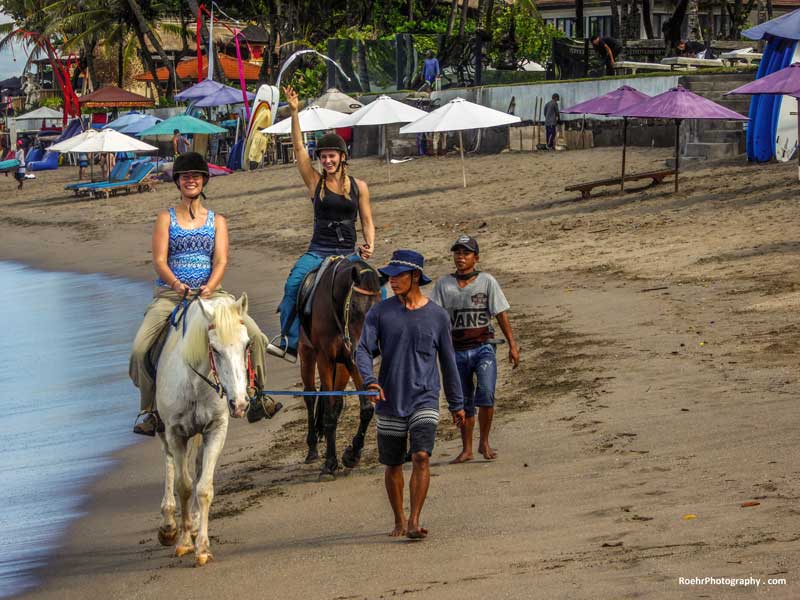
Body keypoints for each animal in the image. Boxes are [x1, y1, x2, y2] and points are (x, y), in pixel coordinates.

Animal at [155, 296, 252, 568]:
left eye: (247, 345)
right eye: (215, 350)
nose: (240, 404)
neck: (195, 383)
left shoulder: (215, 430)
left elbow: (203, 488)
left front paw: (202, 547)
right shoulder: (175, 433)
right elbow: (184, 486)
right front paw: (184, 542)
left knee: (198, 468)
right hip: (164, 431)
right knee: (169, 462)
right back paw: (169, 526)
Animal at [300, 256, 384, 478]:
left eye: (378, 308)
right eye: (353, 306)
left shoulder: (353, 359)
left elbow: (366, 409)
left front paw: (352, 454)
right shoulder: (325, 359)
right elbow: (328, 411)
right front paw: (330, 463)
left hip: (343, 367)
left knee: (336, 402)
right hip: (307, 353)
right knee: (310, 396)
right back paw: (312, 449)